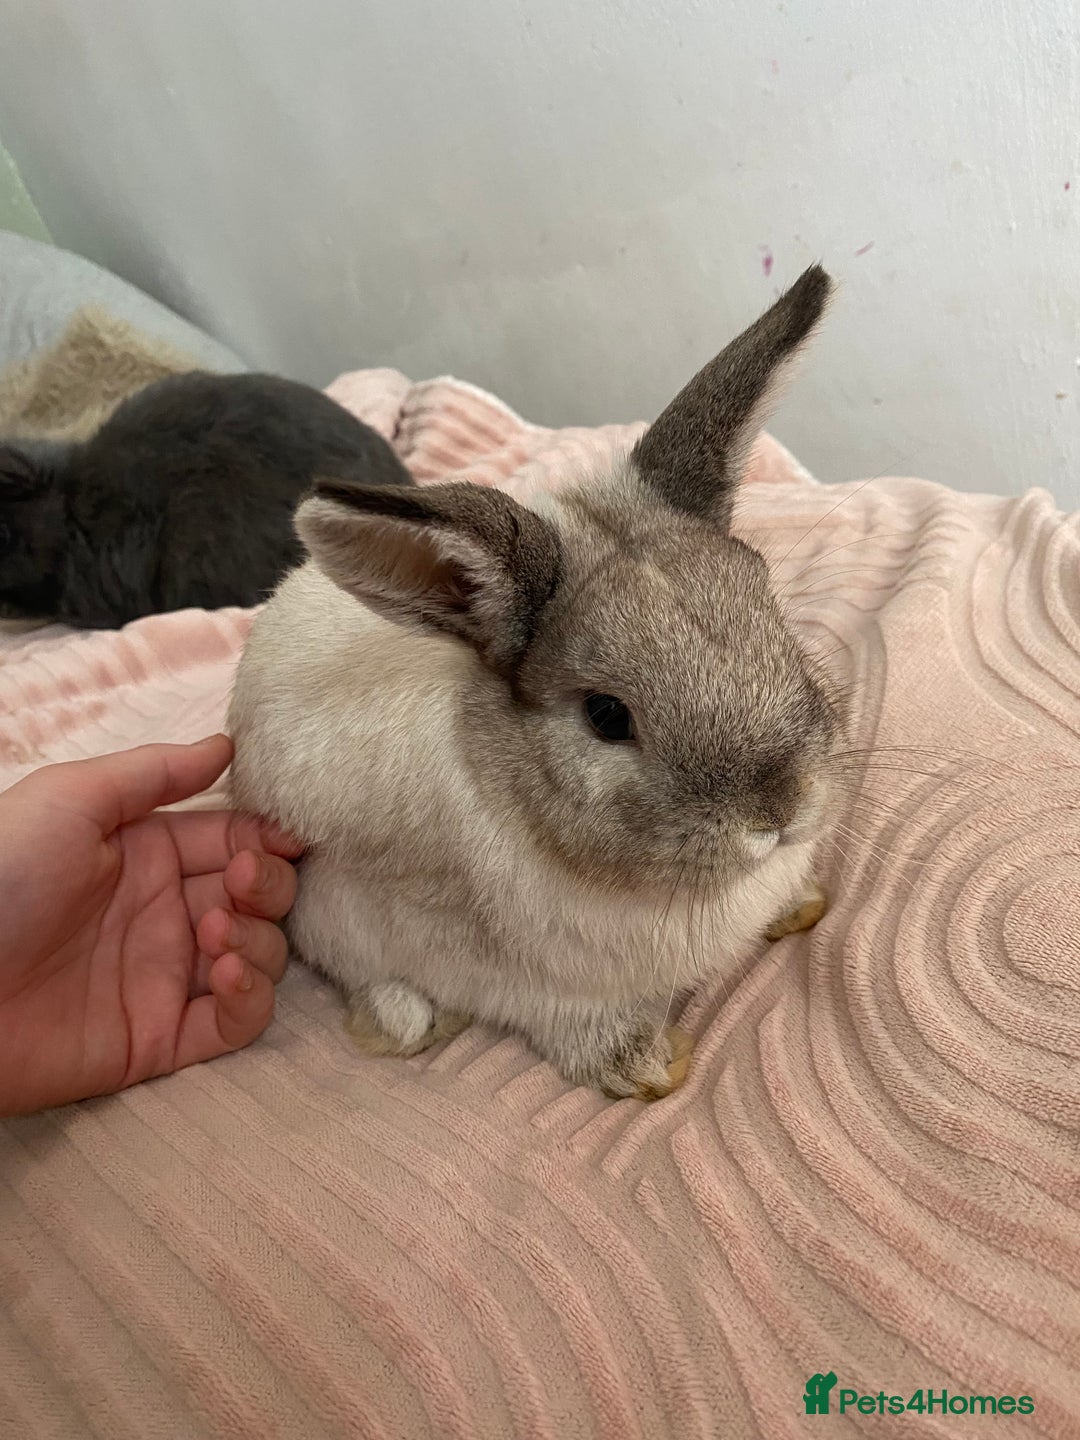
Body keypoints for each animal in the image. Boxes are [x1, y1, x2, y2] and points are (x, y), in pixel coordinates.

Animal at [228, 265, 843, 1100]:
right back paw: (408, 1021)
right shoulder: (529, 983)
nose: (778, 812)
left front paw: (802, 904)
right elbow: (572, 1026)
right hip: (329, 911)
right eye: (607, 715)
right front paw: (645, 1065)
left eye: (768, 609)